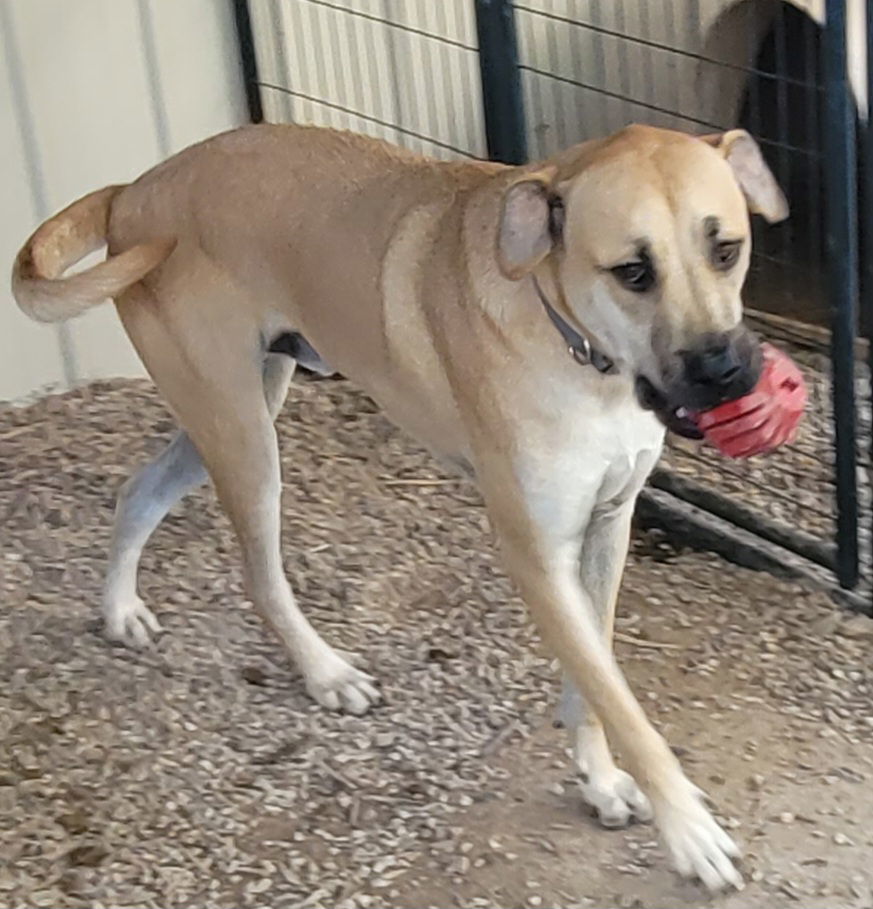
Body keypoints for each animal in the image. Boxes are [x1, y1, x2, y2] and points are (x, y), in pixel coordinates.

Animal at [11, 124, 792, 892]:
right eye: (633, 272)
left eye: (726, 250)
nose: (727, 371)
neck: (577, 349)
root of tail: (134, 191)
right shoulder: (536, 557)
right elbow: (624, 704)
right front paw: (690, 833)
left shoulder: (608, 525)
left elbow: (594, 681)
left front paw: (597, 780)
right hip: (243, 433)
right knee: (260, 576)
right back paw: (326, 673)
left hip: (234, 409)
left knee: (137, 492)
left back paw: (119, 610)